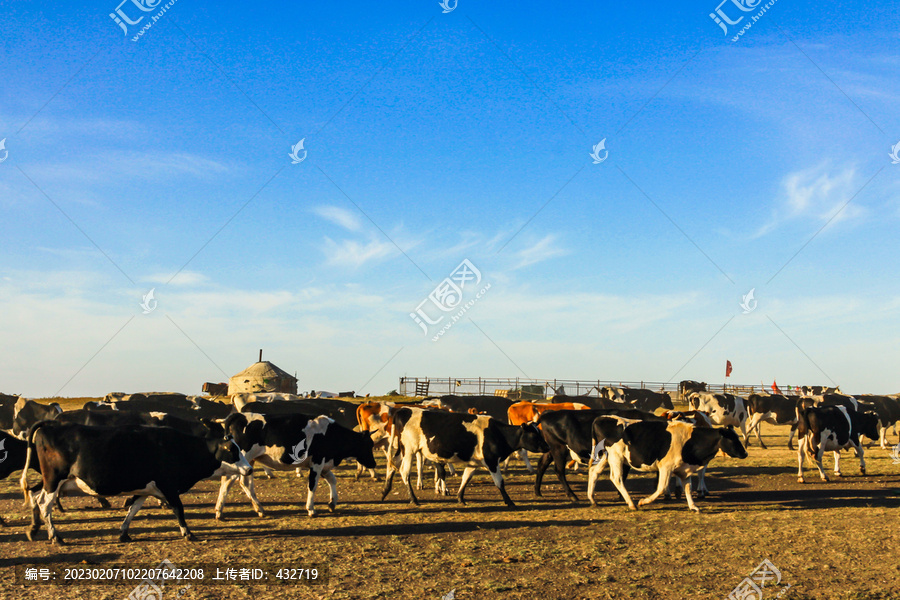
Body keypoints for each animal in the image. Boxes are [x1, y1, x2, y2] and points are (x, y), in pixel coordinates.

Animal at [24, 422, 250, 544]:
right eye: (232, 450)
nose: (249, 469)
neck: (179, 447)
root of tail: (49, 425)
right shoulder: (168, 486)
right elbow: (179, 509)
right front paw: (188, 533)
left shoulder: (145, 489)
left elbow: (133, 509)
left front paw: (124, 533)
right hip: (54, 480)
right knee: (44, 504)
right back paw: (55, 537)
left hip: (51, 481)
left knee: (34, 495)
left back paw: (33, 529)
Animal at [221, 412, 376, 520]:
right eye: (367, 445)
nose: (373, 463)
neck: (330, 434)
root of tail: (238, 415)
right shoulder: (317, 463)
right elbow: (312, 485)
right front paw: (311, 509)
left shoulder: (324, 465)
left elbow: (332, 480)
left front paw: (332, 503)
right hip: (242, 459)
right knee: (229, 481)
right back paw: (221, 511)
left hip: (250, 461)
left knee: (245, 483)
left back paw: (257, 509)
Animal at [378, 408, 544, 506]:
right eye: (534, 435)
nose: (547, 446)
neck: (497, 433)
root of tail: (402, 410)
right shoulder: (491, 462)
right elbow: (500, 483)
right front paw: (509, 502)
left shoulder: (474, 463)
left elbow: (466, 478)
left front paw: (460, 498)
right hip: (409, 450)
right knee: (404, 472)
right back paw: (413, 499)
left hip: (403, 450)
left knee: (393, 466)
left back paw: (385, 491)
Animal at [532, 408, 664, 502]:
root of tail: (548, 413)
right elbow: (623, 474)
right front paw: (621, 495)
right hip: (558, 449)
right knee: (559, 471)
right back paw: (572, 495)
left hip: (550, 450)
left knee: (542, 464)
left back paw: (538, 491)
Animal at [584, 418, 744, 510]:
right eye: (732, 439)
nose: (745, 453)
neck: (690, 440)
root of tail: (601, 418)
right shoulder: (666, 467)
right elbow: (661, 488)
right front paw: (644, 501)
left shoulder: (684, 469)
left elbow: (688, 488)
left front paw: (693, 506)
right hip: (615, 457)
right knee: (616, 478)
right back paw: (632, 503)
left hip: (606, 457)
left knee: (594, 471)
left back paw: (592, 499)